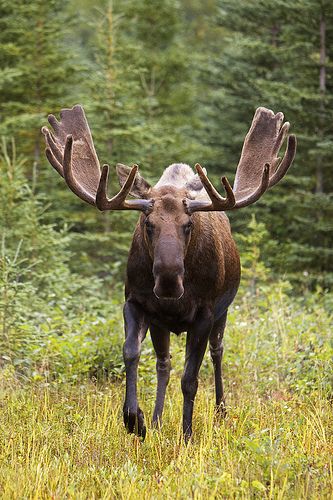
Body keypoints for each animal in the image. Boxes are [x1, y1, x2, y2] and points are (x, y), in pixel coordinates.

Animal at [42, 103, 296, 440]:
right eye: (148, 224)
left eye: (188, 225)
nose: (168, 282)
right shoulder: (136, 303)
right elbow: (131, 353)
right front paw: (135, 419)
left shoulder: (204, 314)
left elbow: (190, 379)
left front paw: (186, 435)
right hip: (161, 323)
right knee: (164, 363)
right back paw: (158, 418)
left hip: (223, 311)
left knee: (217, 352)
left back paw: (220, 411)